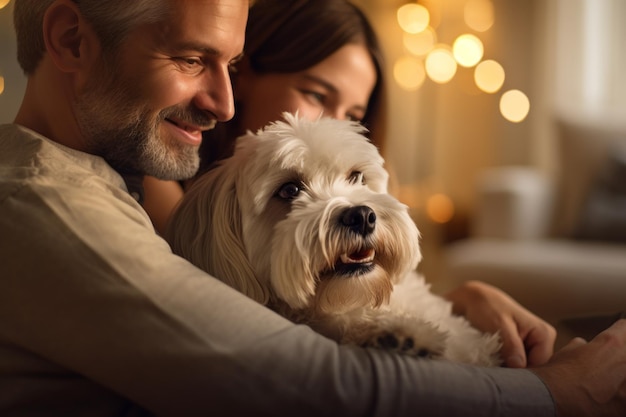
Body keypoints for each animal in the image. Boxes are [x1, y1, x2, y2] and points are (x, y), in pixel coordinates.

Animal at [163, 112, 500, 366]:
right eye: (289, 190)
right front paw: (395, 334)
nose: (362, 215)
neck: (345, 302)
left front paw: (406, 333)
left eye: (356, 177)